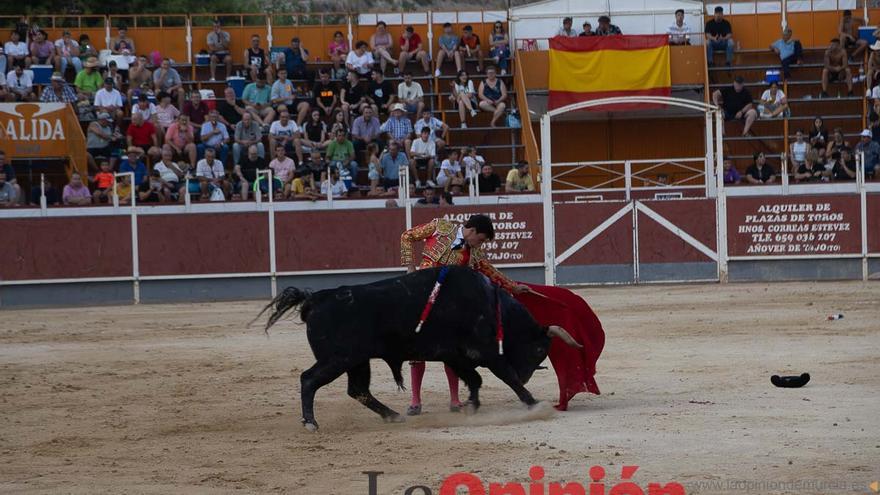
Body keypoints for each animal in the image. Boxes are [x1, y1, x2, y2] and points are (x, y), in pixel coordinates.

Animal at [258, 266, 580, 432]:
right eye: (539, 351)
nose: (528, 374)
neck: (493, 305)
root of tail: (317, 298)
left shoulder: (456, 355)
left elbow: (475, 380)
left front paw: (471, 406)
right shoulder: (487, 353)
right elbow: (505, 378)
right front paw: (533, 403)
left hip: (357, 360)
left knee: (358, 390)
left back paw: (392, 416)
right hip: (338, 359)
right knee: (309, 379)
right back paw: (311, 423)